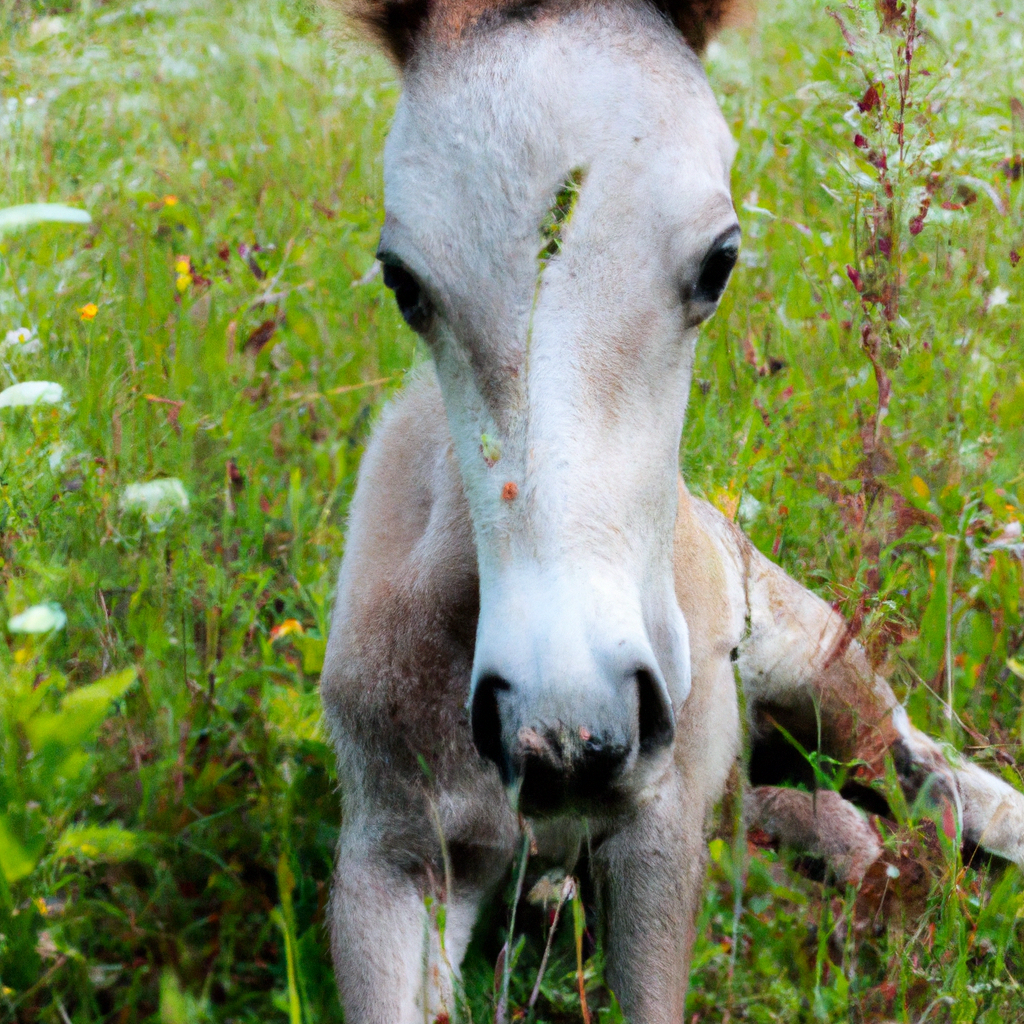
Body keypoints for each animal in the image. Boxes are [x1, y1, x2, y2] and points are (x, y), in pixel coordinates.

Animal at [319, 4, 1024, 1019]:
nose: (570, 739)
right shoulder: (391, 857)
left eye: (720, 260)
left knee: (915, 763)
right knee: (827, 815)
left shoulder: (656, 840)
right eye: (403, 281)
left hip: (823, 672)